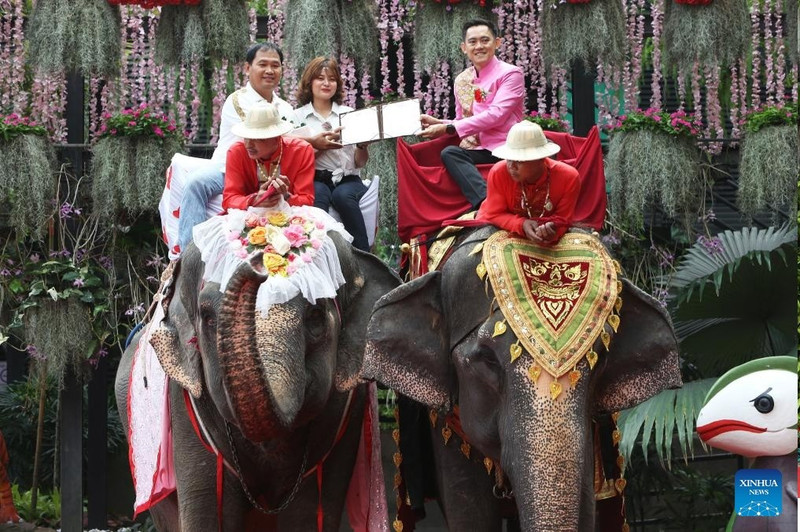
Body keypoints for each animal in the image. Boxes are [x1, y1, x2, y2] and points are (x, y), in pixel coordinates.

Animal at [115, 233, 401, 531]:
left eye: (315, 315)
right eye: (207, 317)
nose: (259, 262)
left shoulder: (345, 415)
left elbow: (308, 513)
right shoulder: (185, 406)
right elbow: (207, 512)